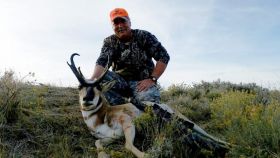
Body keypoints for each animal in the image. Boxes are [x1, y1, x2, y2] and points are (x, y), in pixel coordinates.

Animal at [67, 53, 230, 158]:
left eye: (99, 87)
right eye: (79, 86)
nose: (87, 99)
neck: (101, 118)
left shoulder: (128, 124)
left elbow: (128, 145)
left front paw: (147, 155)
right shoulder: (110, 137)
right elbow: (97, 142)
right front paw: (103, 155)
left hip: (188, 121)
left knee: (208, 134)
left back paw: (228, 144)